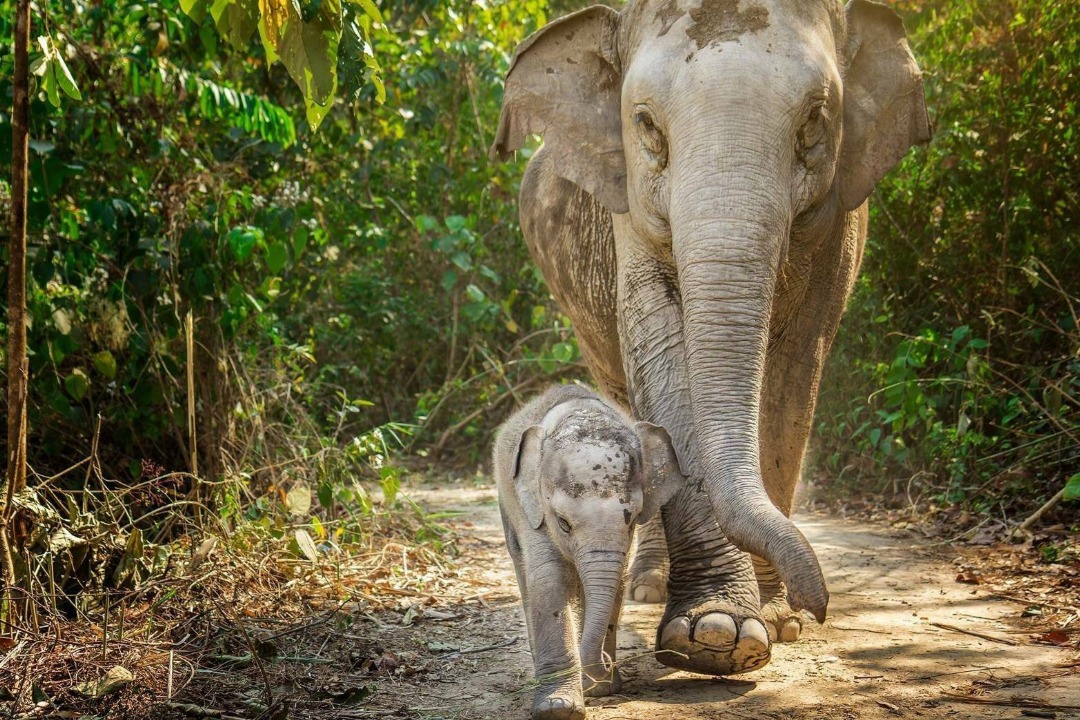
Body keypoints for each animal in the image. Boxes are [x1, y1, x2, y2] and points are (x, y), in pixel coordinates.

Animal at [491, 0, 930, 677]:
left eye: (815, 121)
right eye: (646, 125)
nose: (818, 604)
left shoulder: (840, 221)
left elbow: (793, 375)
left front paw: (775, 620)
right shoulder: (627, 216)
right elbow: (663, 353)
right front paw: (713, 634)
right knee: (624, 392)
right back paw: (648, 584)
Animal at [494, 384, 687, 720]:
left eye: (632, 520)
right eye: (563, 523)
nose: (607, 665)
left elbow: (616, 583)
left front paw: (599, 690)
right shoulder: (533, 512)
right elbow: (548, 580)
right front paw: (558, 708)